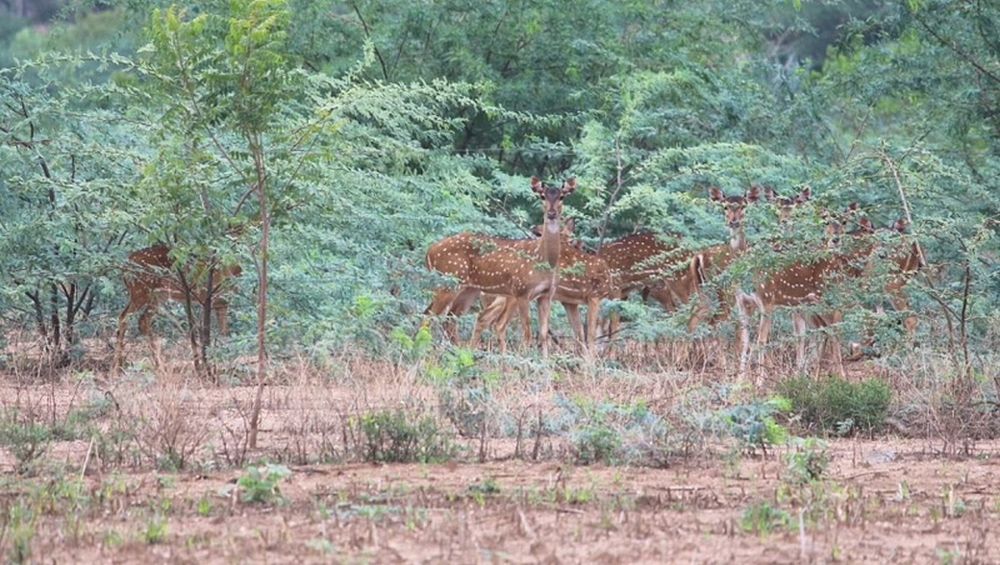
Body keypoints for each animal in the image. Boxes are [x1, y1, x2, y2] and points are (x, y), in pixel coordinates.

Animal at [113, 243, 242, 372]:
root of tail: (125, 264)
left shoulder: (222, 302)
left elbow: (224, 332)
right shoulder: (213, 297)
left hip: (156, 295)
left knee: (140, 319)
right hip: (142, 291)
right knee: (126, 317)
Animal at [424, 176, 580, 354]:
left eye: (562, 196)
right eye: (542, 196)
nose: (552, 213)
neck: (543, 260)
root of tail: (429, 252)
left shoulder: (546, 295)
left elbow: (543, 335)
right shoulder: (521, 291)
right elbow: (527, 333)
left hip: (469, 289)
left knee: (449, 317)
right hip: (448, 280)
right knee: (431, 316)